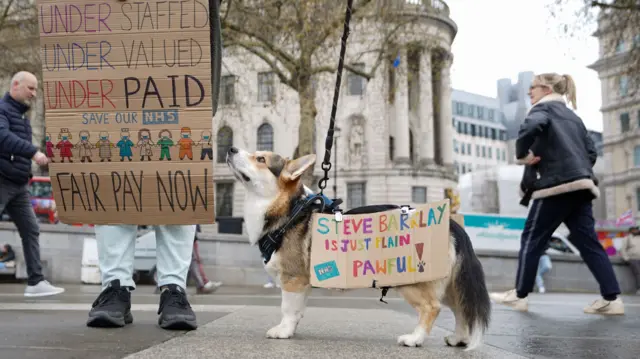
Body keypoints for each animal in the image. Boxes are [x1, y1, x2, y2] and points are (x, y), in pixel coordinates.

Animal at [228, 147, 492, 352]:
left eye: (260, 159)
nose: (230, 149)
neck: (288, 211)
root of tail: (453, 224)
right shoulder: (301, 284)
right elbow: (297, 311)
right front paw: (290, 330)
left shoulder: (292, 280)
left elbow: (287, 309)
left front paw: (282, 332)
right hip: (448, 284)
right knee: (461, 310)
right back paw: (458, 338)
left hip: (413, 282)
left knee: (432, 308)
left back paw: (414, 339)